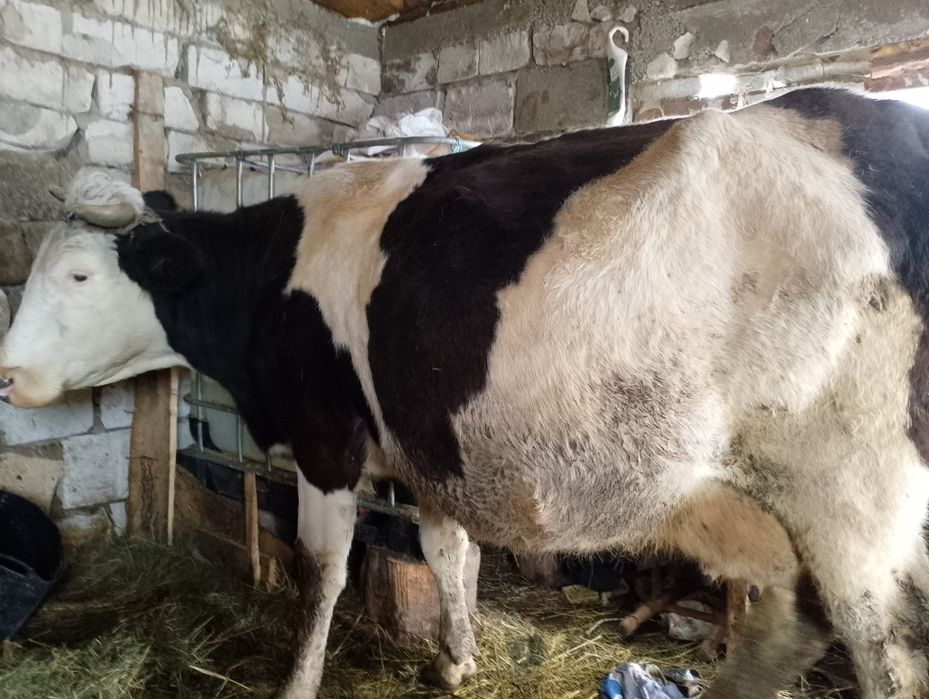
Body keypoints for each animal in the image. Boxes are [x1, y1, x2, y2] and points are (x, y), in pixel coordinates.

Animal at [2, 87, 929, 698]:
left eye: (79, 275)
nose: (8, 373)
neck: (276, 274)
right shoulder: (428, 443)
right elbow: (448, 555)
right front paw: (456, 656)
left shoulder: (328, 437)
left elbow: (321, 570)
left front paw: (297, 681)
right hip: (778, 512)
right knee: (787, 626)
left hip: (852, 502)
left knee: (880, 654)